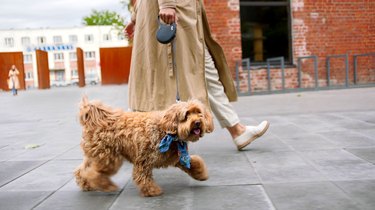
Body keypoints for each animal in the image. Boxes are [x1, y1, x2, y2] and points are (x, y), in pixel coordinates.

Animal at [74, 97, 214, 197]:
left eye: (199, 112)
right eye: (186, 115)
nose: (197, 122)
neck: (167, 131)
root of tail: (94, 121)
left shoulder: (177, 157)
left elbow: (194, 163)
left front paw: (201, 174)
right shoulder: (144, 160)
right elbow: (143, 177)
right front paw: (152, 191)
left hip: (96, 155)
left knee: (82, 170)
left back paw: (86, 184)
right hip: (109, 158)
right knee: (92, 173)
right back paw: (106, 186)